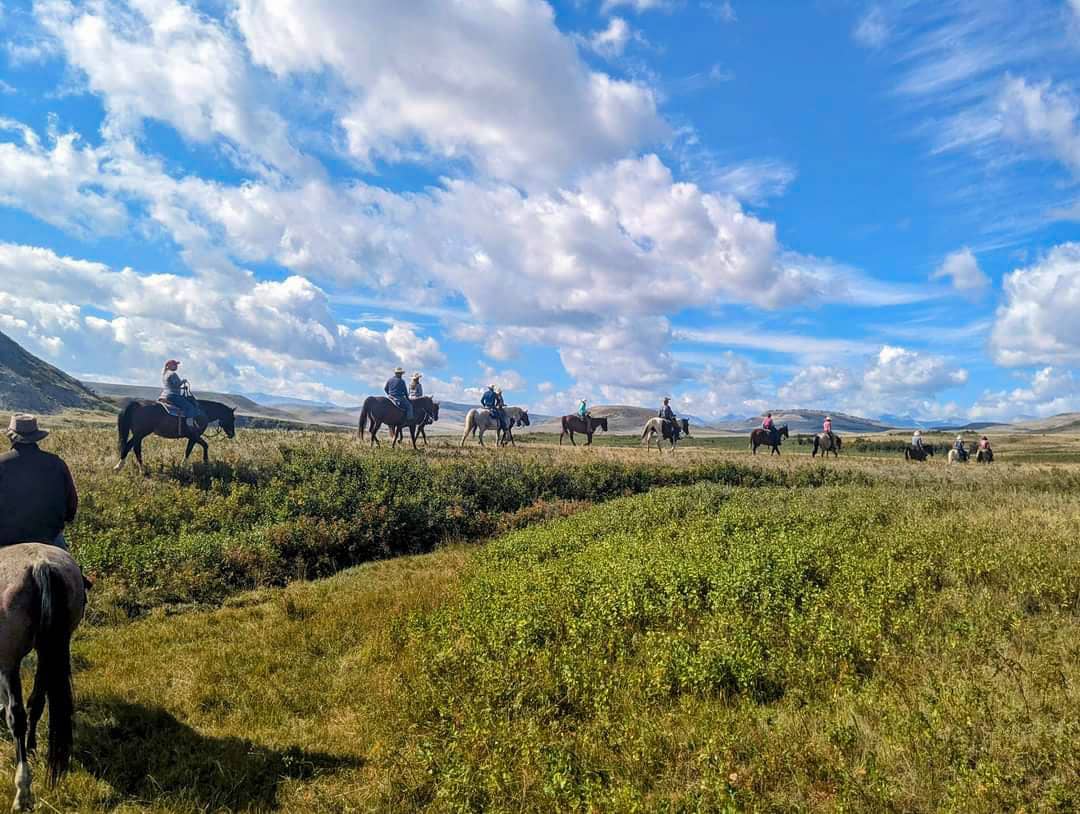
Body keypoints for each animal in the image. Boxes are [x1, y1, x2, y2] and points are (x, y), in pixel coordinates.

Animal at [0, 541, 86, 807]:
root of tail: (41, 565)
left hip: (10, 660)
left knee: (17, 715)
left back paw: (22, 790)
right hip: (52, 647)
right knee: (37, 700)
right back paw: (32, 746)